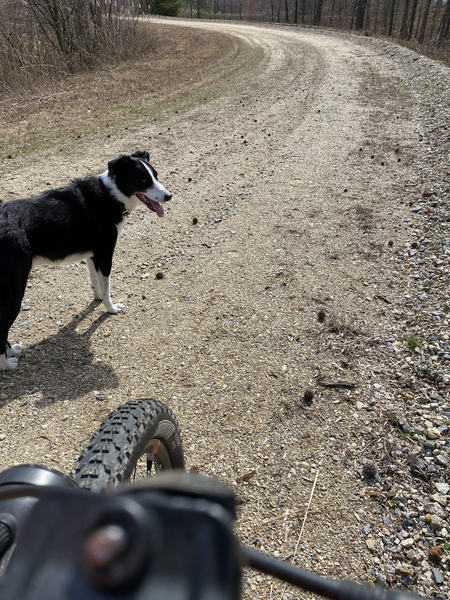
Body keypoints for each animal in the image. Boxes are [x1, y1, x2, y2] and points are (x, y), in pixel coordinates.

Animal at [0, 150, 172, 370]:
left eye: (156, 176)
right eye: (143, 180)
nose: (169, 196)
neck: (109, 194)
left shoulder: (92, 255)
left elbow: (95, 283)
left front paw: (97, 300)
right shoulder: (105, 255)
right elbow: (107, 288)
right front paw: (110, 308)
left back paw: (12, 351)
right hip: (14, 292)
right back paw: (7, 364)